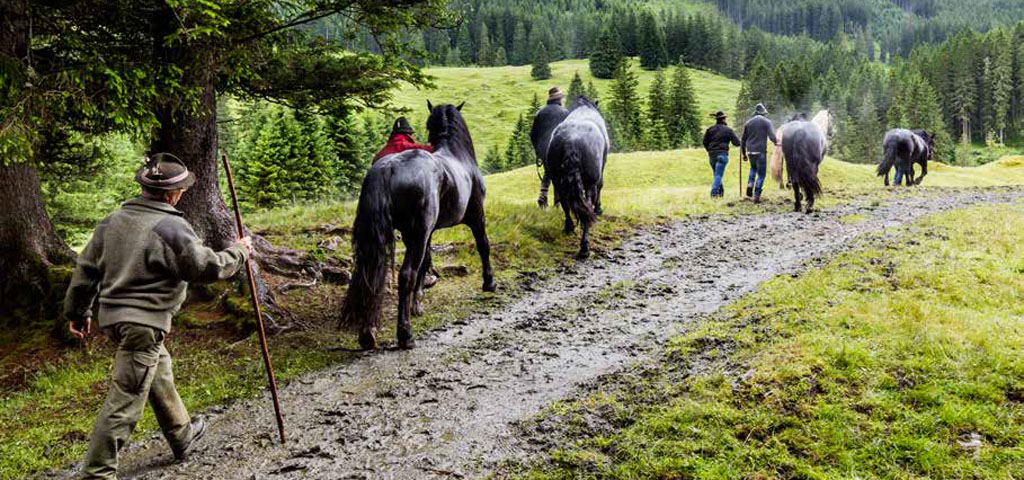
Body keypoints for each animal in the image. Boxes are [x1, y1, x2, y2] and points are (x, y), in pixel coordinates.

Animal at [339, 101, 495, 347]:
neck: (457, 156)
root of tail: (388, 168)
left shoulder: (428, 232)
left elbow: (427, 261)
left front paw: (417, 304)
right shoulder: (475, 216)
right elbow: (483, 245)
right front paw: (489, 282)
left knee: (371, 275)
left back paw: (368, 333)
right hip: (417, 235)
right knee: (406, 275)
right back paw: (405, 334)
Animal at [552, 95, 606, 255]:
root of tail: (572, 140)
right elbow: (601, 186)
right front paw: (598, 209)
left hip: (557, 180)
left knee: (564, 203)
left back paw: (569, 227)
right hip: (589, 184)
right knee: (586, 208)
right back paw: (585, 247)